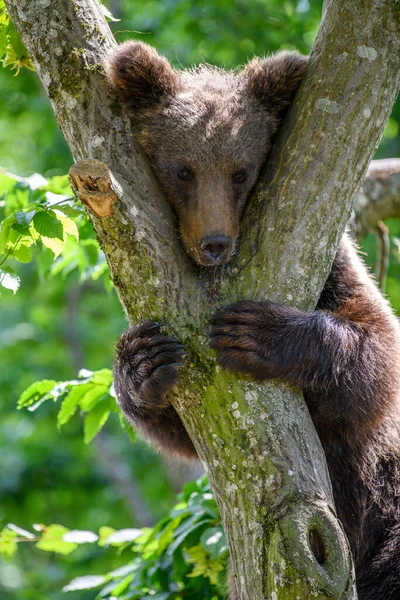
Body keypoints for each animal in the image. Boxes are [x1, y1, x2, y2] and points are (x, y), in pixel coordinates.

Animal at [108, 39, 400, 596]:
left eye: (240, 171)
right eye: (183, 170)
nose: (215, 243)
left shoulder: (333, 266)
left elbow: (378, 353)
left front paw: (254, 333)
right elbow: (179, 426)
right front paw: (144, 361)